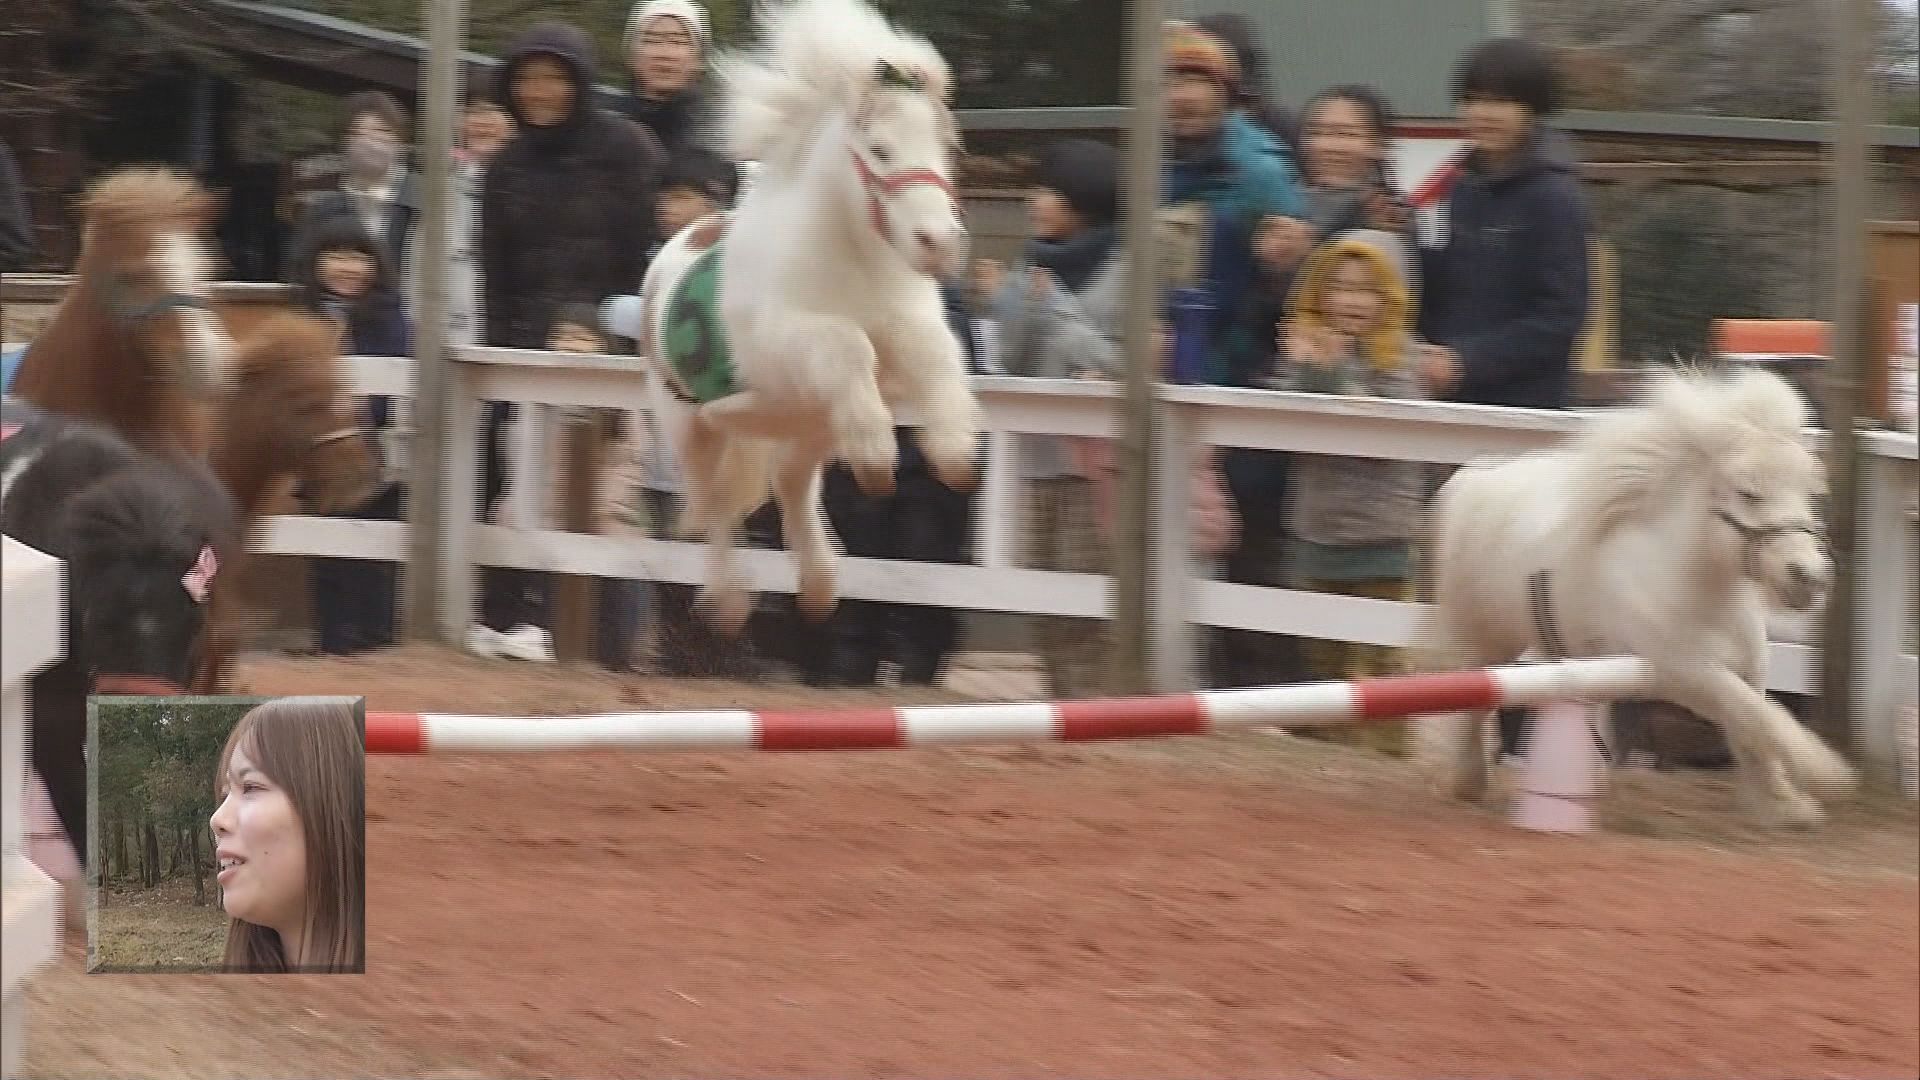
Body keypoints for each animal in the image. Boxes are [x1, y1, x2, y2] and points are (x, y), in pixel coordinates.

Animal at [630, 0, 982, 635]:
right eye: (881, 149)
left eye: (945, 147)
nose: (939, 244)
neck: (853, 261)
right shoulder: (790, 340)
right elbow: (847, 343)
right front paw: (880, 454)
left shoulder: (909, 331)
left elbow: (935, 355)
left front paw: (956, 456)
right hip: (690, 423)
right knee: (712, 500)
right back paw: (729, 602)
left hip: (806, 425)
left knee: (789, 483)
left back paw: (819, 585)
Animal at [1417, 367, 1856, 828]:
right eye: (1749, 492)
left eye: (1810, 493)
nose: (1808, 577)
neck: (1700, 590)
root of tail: (1468, 477)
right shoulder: (1683, 671)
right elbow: (1760, 717)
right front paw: (1828, 775)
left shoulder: (1749, 667)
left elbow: (1754, 725)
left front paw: (1783, 805)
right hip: (1485, 634)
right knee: (1472, 695)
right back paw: (1468, 781)